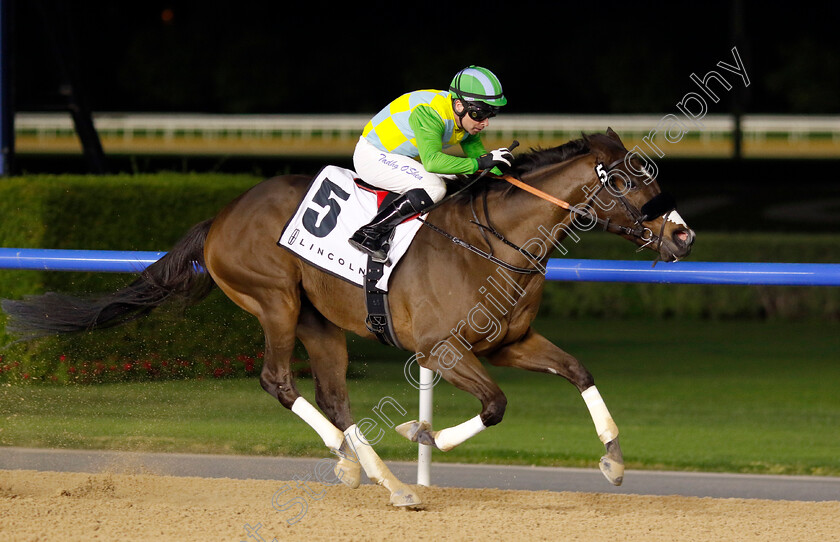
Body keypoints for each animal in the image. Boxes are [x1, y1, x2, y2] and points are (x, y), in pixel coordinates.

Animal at [1, 130, 696, 508]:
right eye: (629, 182)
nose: (683, 235)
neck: (494, 243)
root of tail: (221, 217)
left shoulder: (509, 341)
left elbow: (577, 370)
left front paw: (613, 459)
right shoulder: (443, 350)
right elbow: (496, 405)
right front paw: (424, 434)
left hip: (320, 322)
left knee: (334, 397)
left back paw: (379, 477)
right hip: (275, 301)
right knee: (279, 382)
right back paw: (367, 469)